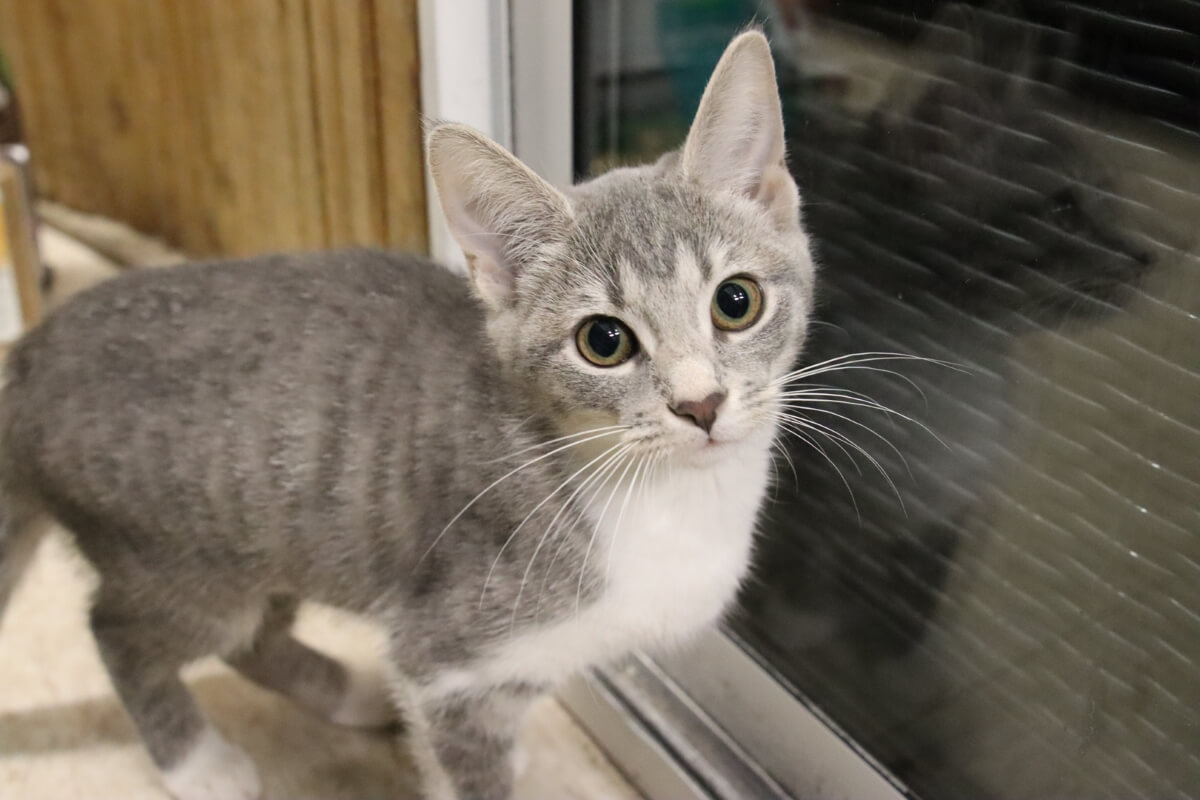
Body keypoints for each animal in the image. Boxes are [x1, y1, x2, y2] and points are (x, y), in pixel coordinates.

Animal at [0, 31, 816, 800]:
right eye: (604, 342)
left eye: (736, 301)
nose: (700, 403)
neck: (672, 498)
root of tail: (30, 355)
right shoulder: (448, 657)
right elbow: (463, 756)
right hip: (176, 560)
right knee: (120, 630)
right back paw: (197, 761)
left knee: (252, 638)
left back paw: (351, 694)